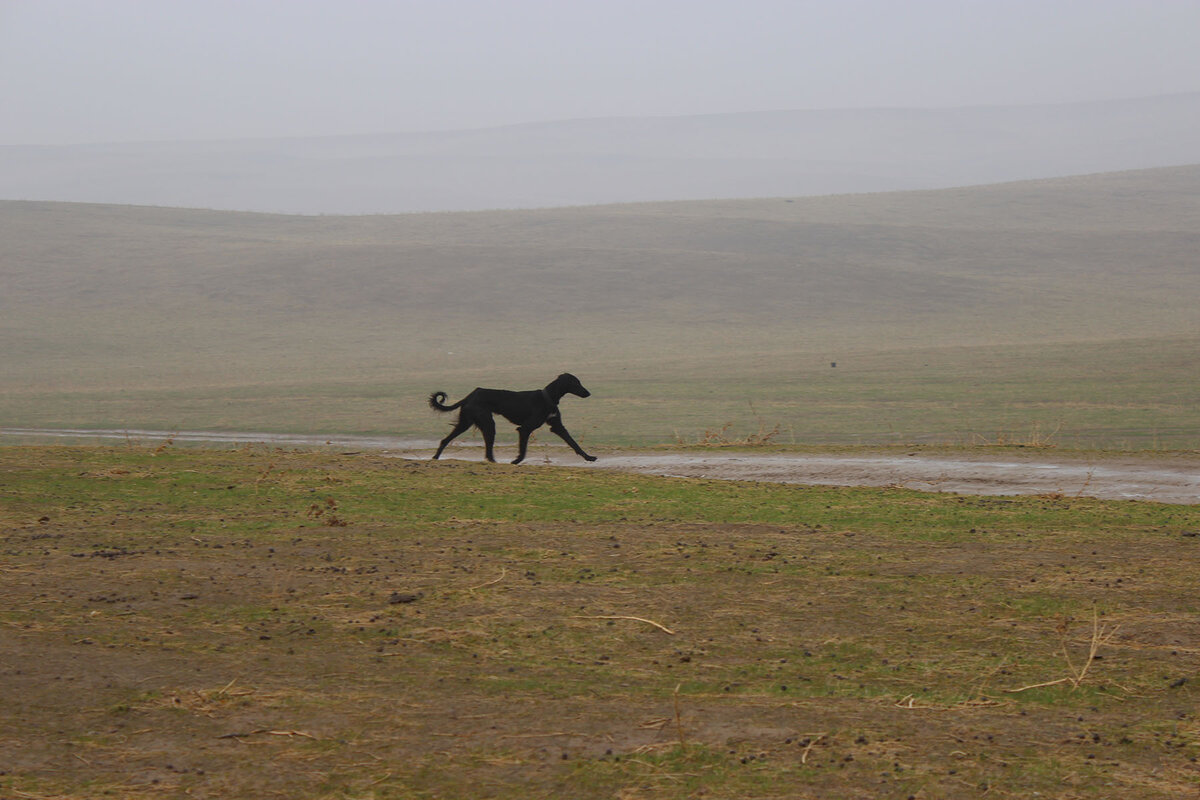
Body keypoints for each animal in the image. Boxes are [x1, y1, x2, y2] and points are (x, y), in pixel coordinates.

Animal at [432, 374, 600, 465]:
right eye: (576, 383)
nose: (588, 393)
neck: (548, 397)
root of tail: (471, 394)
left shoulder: (557, 426)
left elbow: (574, 443)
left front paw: (589, 457)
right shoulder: (525, 428)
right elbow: (523, 450)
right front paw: (516, 461)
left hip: (468, 423)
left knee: (446, 440)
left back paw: (436, 457)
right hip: (486, 423)